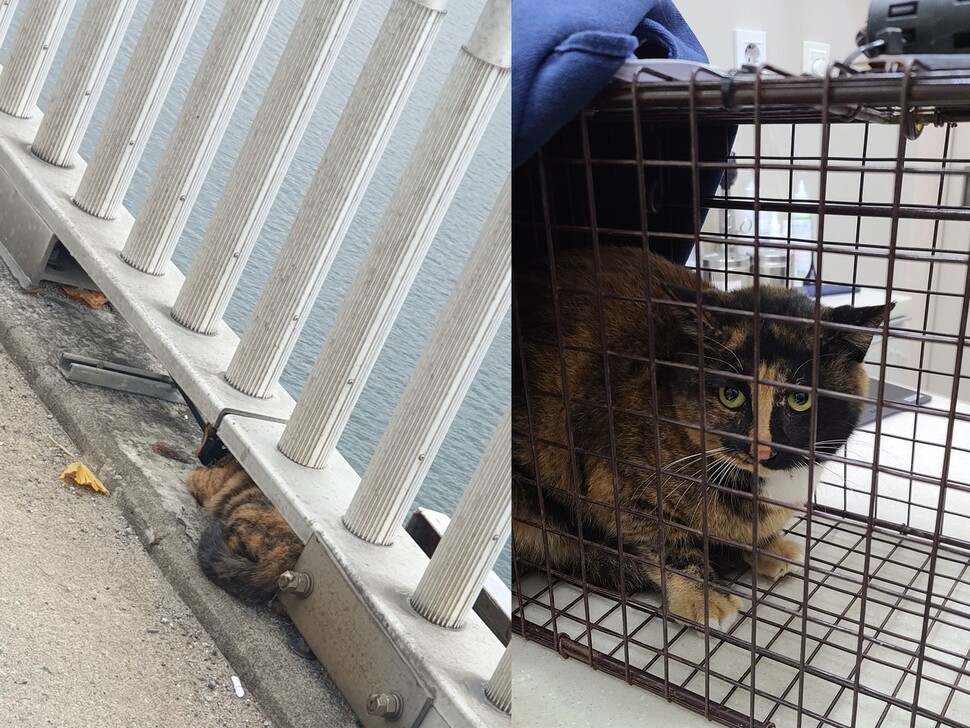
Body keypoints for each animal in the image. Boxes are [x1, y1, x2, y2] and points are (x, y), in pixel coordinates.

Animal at [510, 247, 888, 628]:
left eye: (800, 399)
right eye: (730, 395)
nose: (761, 447)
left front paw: (772, 546)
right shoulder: (617, 488)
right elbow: (667, 545)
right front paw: (705, 600)